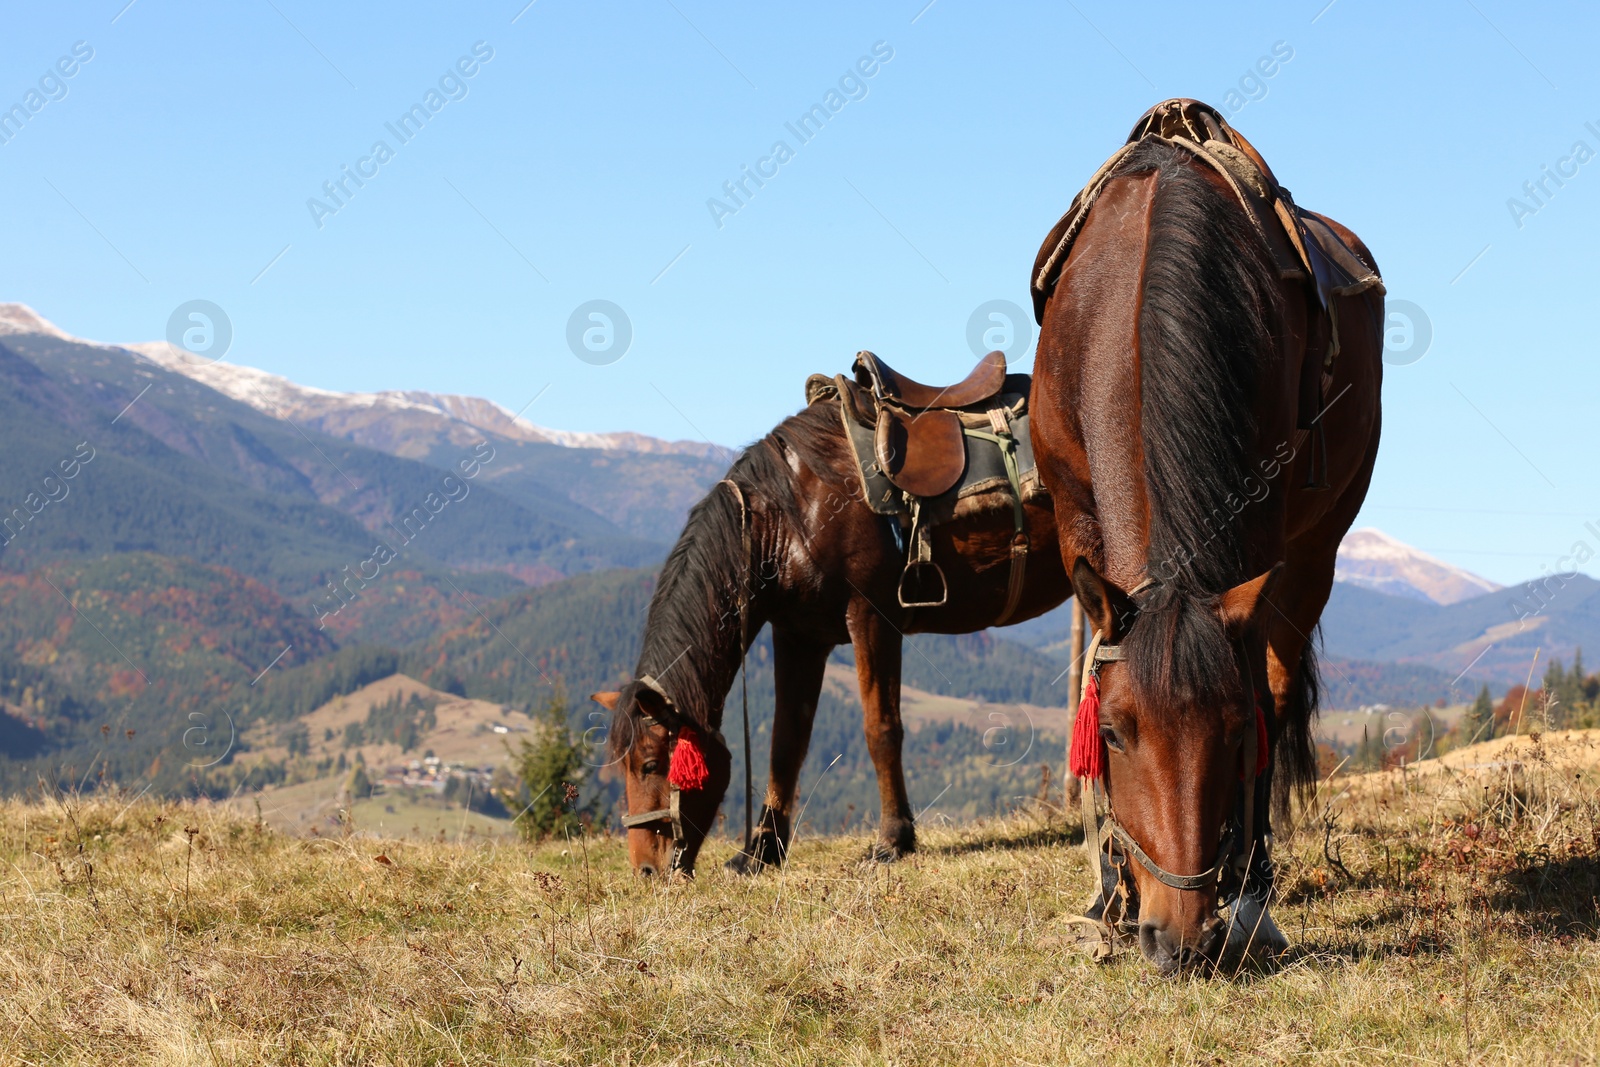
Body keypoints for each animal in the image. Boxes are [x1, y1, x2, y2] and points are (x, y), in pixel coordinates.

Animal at [595, 374, 1068, 876]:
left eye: (650, 765)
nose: (645, 869)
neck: (790, 517)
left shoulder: (872, 618)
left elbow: (881, 729)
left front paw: (893, 839)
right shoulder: (798, 636)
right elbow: (786, 741)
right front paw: (761, 849)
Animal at [1030, 102, 1382, 979]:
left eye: (1228, 733)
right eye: (1113, 733)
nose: (1178, 935)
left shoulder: (1258, 537)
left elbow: (1261, 695)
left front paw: (1242, 899)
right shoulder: (1073, 517)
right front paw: (1110, 895)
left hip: (1319, 545)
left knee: (1281, 685)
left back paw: (1254, 895)